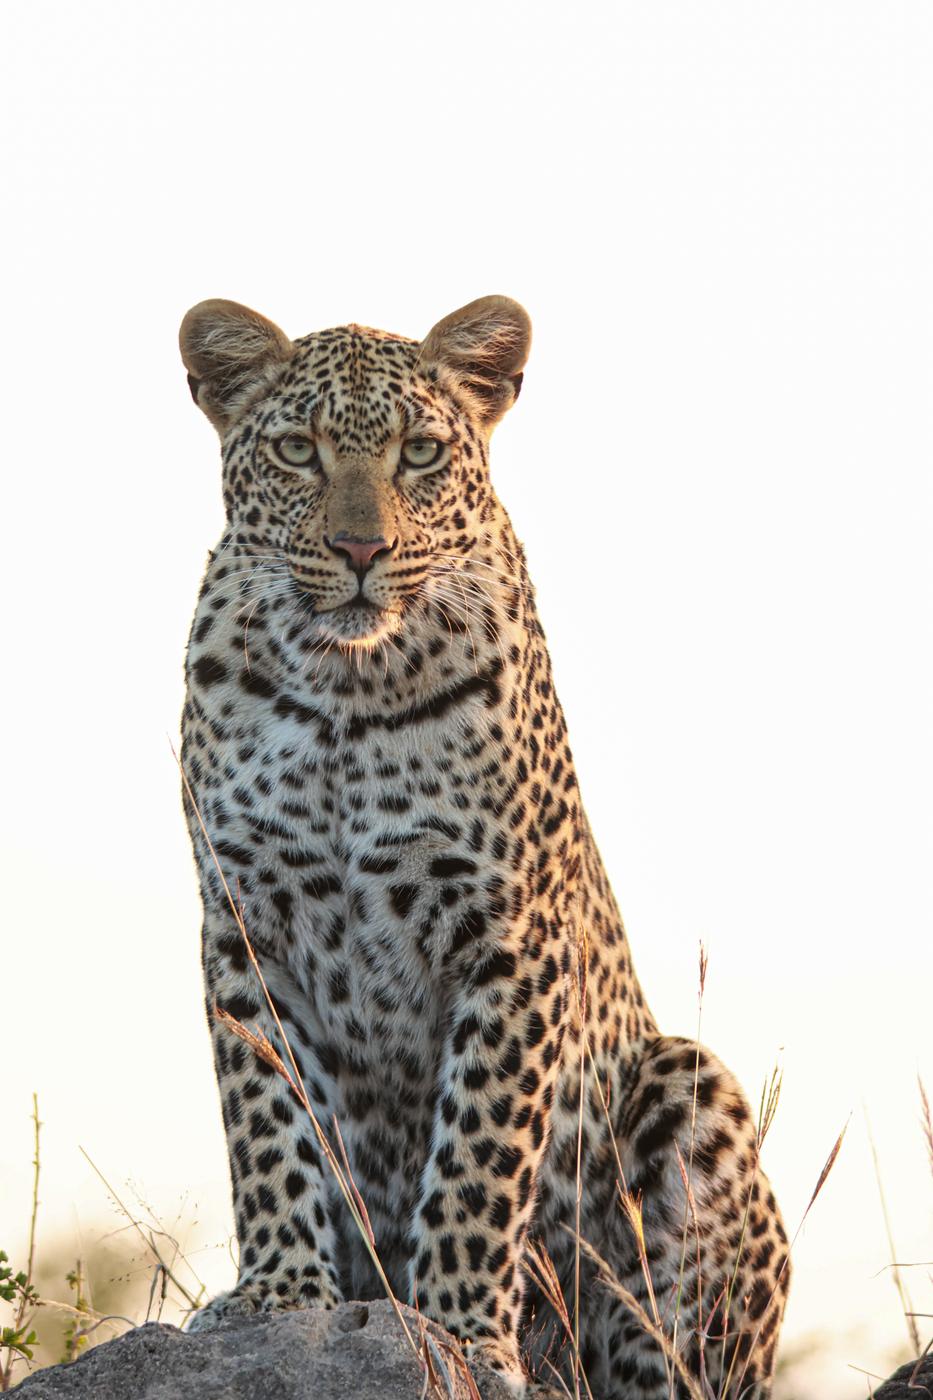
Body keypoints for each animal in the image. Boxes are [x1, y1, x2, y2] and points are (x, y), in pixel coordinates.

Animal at [178, 294, 790, 1398]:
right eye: (296, 451)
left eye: (419, 452)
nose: (360, 551)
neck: (346, 685)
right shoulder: (244, 929)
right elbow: (268, 1123)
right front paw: (279, 1292)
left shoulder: (509, 933)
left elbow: (479, 1151)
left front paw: (461, 1332)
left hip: (689, 1088)